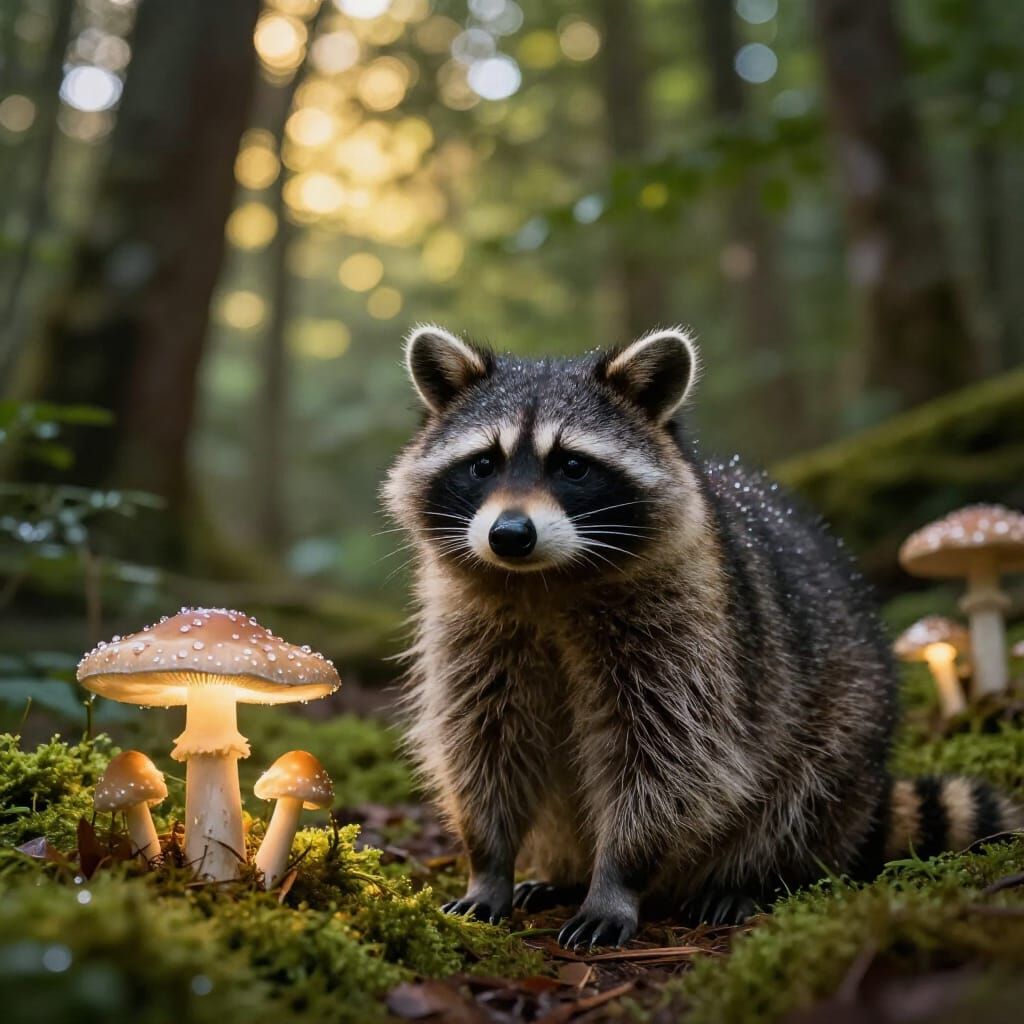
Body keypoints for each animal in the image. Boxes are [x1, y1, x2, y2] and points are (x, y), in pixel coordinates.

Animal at [383, 324, 1022, 950]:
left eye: (572, 466)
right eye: (482, 464)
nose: (510, 535)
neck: (546, 580)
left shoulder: (688, 630)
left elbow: (668, 759)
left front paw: (617, 879)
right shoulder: (473, 630)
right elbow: (483, 744)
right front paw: (489, 864)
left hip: (845, 723)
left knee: (801, 793)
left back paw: (749, 877)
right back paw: (563, 874)